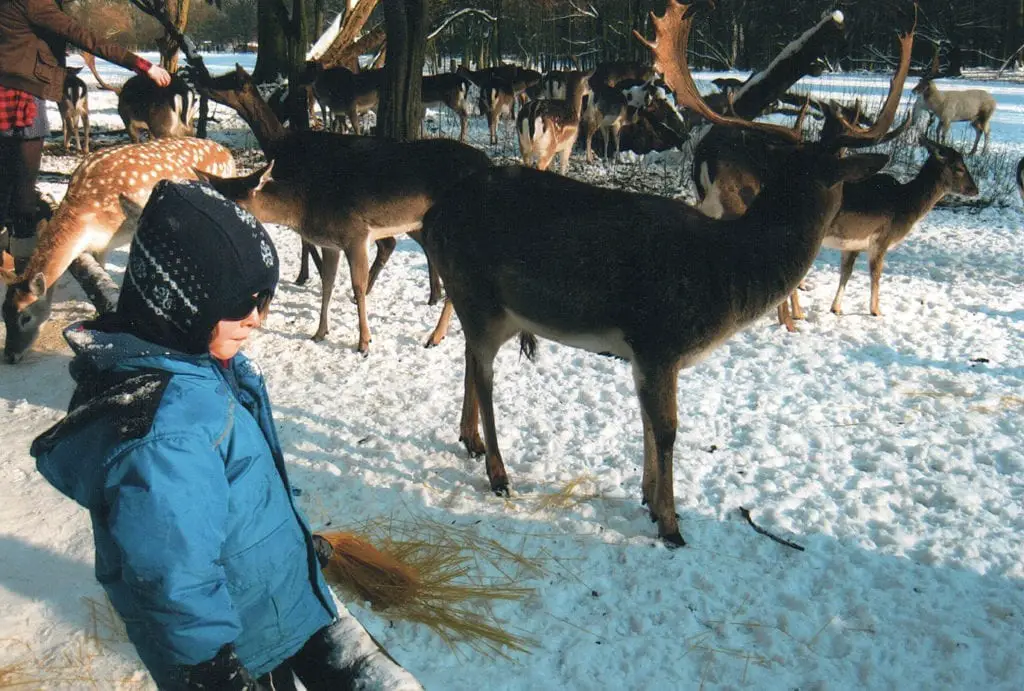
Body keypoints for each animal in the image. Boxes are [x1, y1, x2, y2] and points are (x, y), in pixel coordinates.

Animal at [0, 135, 234, 362]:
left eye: (25, 317)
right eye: (3, 314)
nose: (10, 355)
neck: (87, 218)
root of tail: (228, 153)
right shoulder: (100, 245)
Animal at [194, 65, 491, 354]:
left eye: (227, 80)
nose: (200, 81)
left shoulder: (355, 235)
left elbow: (354, 284)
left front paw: (363, 343)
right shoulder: (331, 243)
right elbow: (328, 282)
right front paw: (319, 332)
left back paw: (434, 335)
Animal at [417, 1, 913, 552]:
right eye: (842, 178)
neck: (729, 273)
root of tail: (434, 216)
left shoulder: (645, 355)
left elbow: (648, 425)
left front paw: (649, 500)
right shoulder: (660, 340)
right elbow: (669, 429)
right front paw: (673, 524)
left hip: (482, 303)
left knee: (467, 356)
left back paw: (471, 441)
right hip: (482, 296)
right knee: (484, 374)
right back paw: (499, 472)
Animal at [823, 136, 974, 319]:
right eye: (959, 168)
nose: (976, 189)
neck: (905, 205)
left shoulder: (852, 243)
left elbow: (846, 271)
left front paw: (836, 308)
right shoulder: (881, 239)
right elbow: (876, 273)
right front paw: (876, 311)